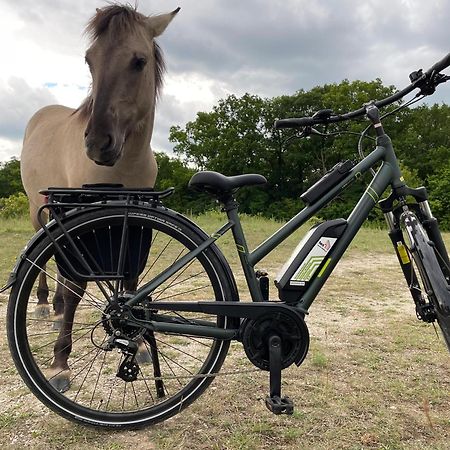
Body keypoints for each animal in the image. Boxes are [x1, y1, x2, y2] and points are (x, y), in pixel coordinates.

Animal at [20, 2, 179, 390]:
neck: (123, 167)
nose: (96, 144)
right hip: (40, 210)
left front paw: (139, 345)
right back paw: (46, 304)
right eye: (90, 60)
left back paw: (57, 307)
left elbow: (130, 279)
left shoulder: (135, 222)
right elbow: (77, 285)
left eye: (138, 61)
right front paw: (60, 363)